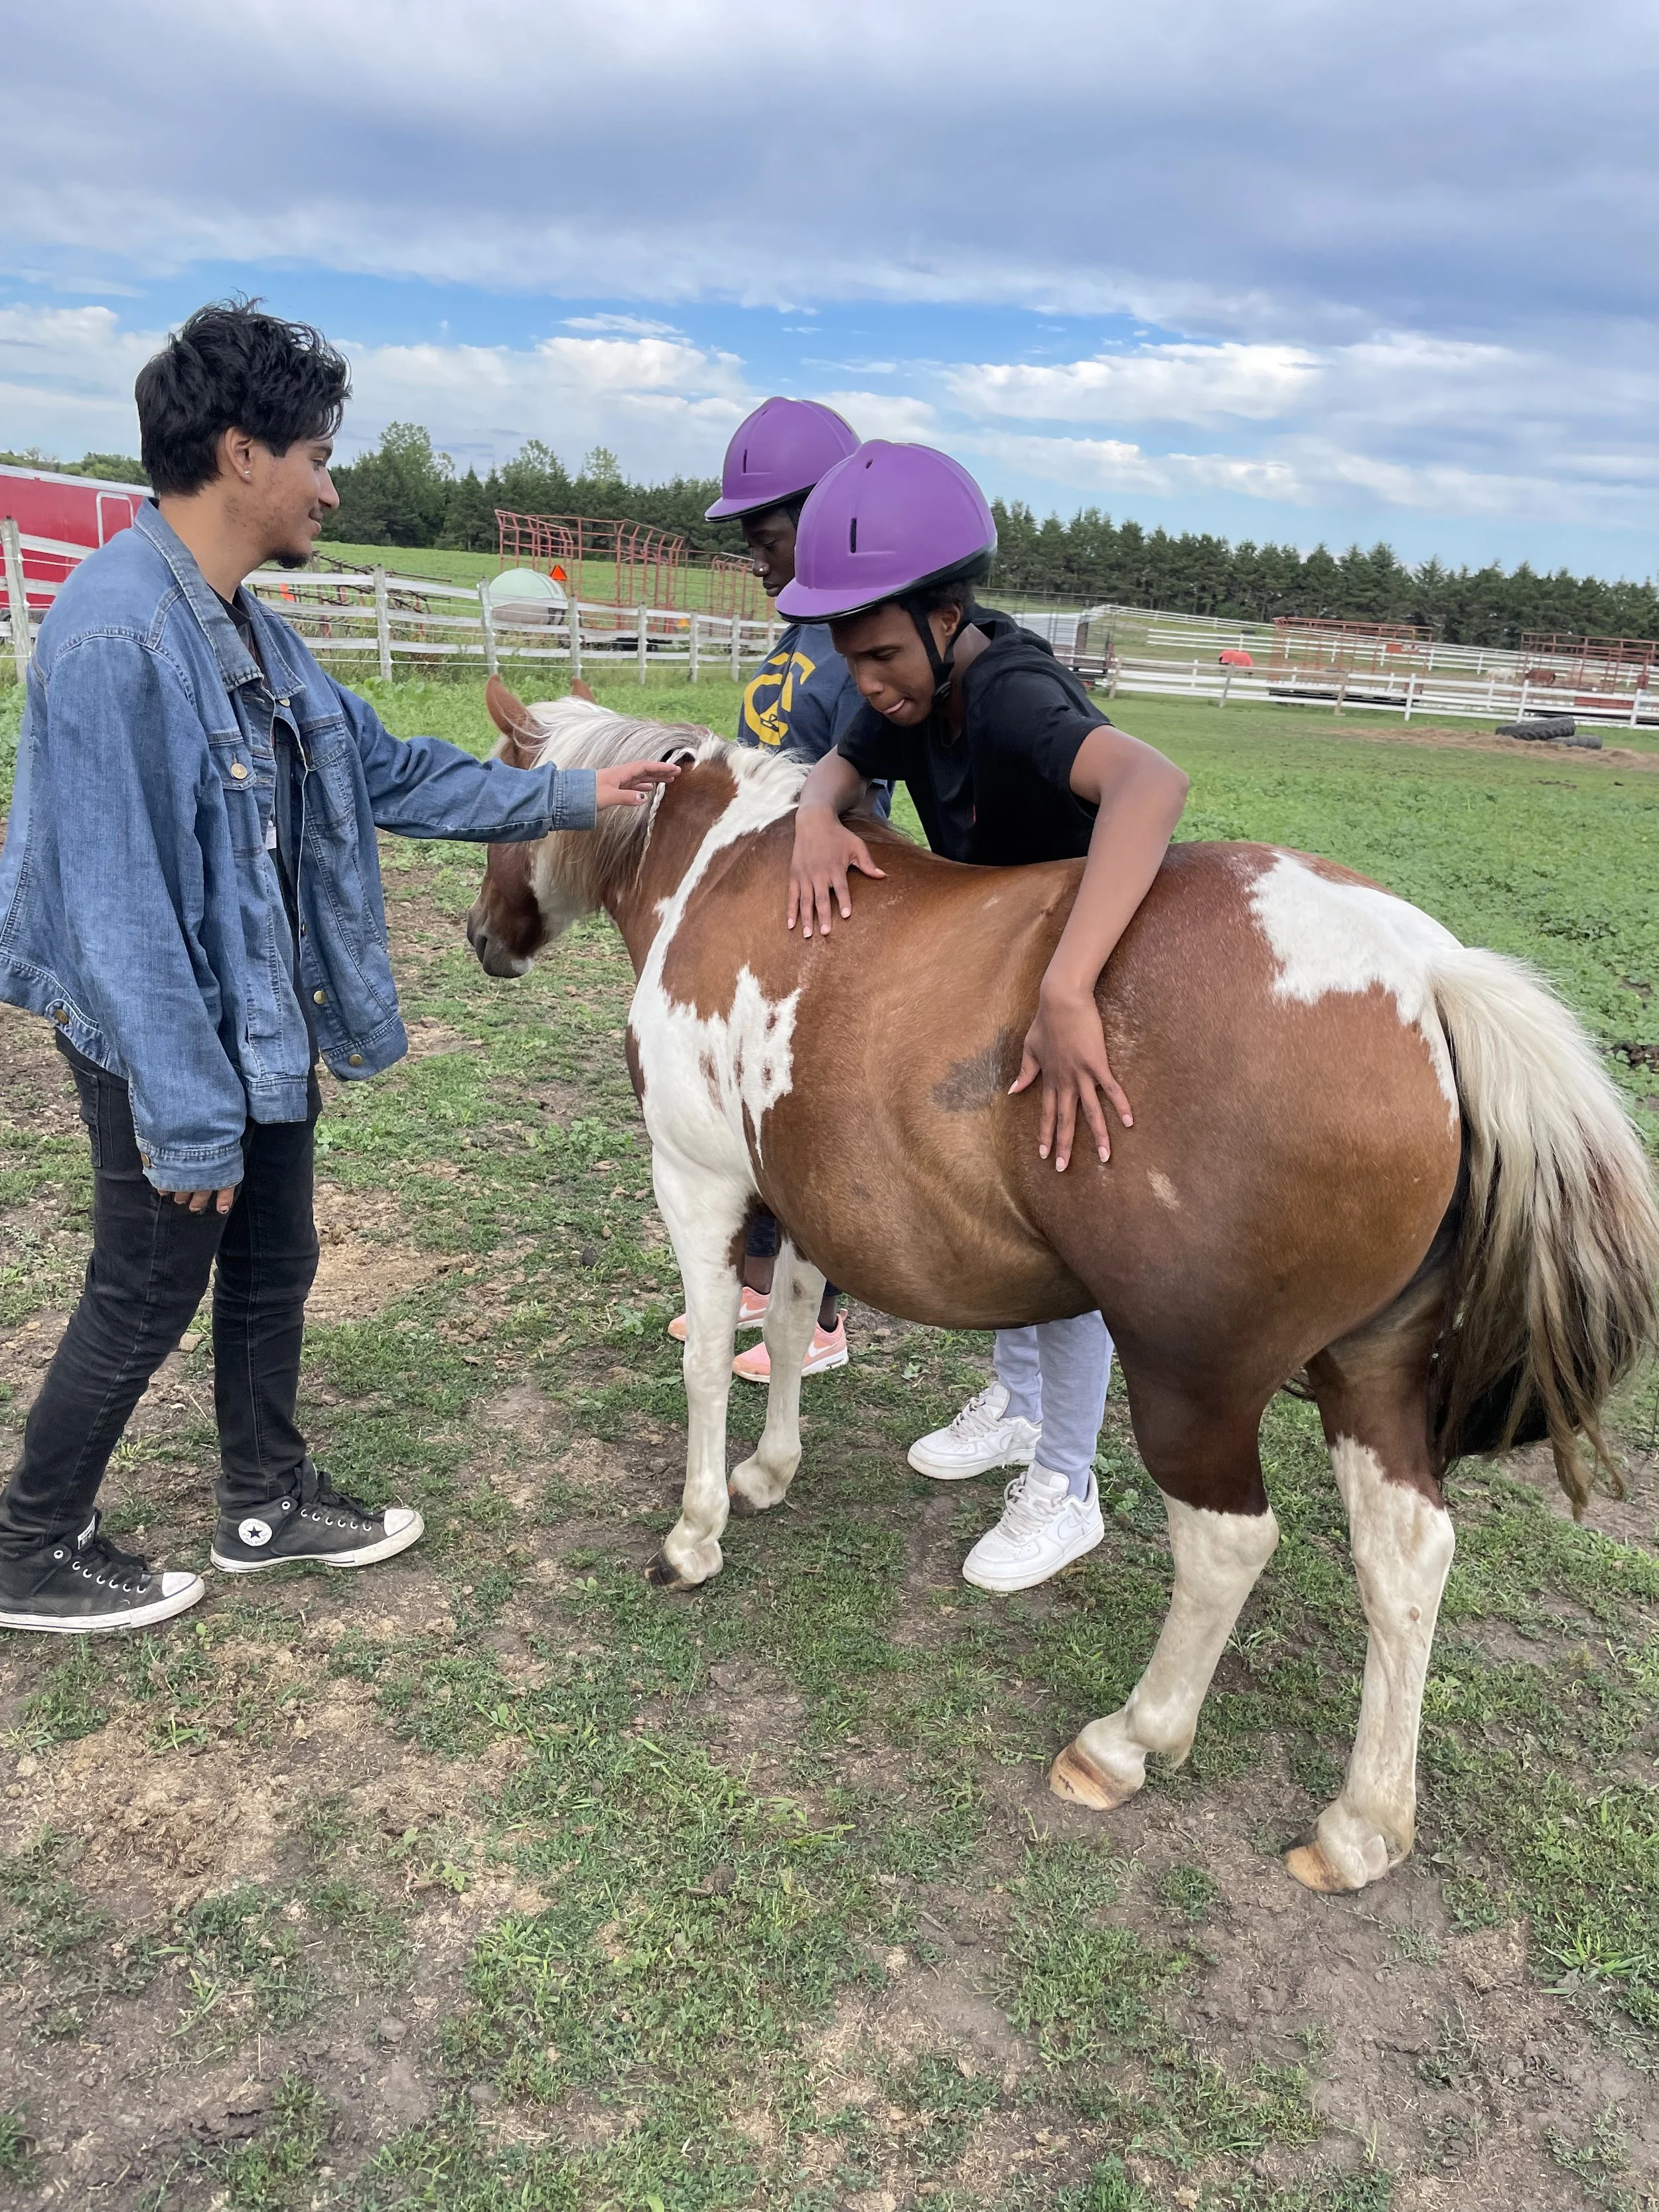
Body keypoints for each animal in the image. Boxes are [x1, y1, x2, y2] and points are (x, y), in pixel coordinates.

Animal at [466, 679, 1659, 1896]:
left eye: (498, 794)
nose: (483, 936)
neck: (723, 869)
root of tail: (1422, 974)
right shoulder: (796, 1199)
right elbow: (794, 1328)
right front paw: (768, 1471)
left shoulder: (700, 1181)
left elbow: (709, 1360)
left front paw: (697, 1529)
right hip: (1370, 1370)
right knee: (1406, 1554)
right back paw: (1362, 1824)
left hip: (1193, 1380)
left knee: (1228, 1545)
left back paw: (1128, 1740)